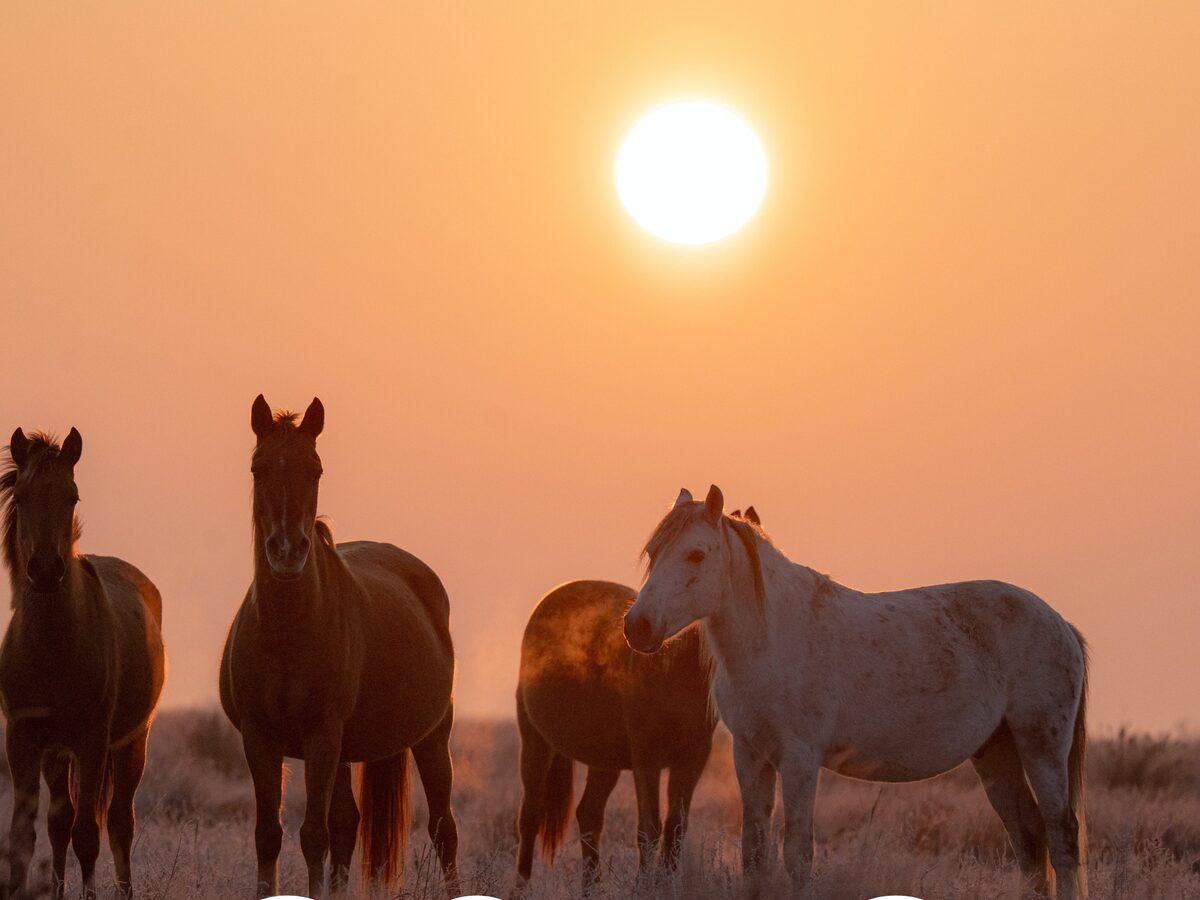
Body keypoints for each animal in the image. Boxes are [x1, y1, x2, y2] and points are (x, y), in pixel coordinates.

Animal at [0, 428, 166, 900]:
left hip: (131, 743)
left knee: (120, 823)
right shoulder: (23, 740)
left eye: (71, 496)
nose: (44, 569)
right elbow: (25, 836)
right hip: (58, 754)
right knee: (60, 823)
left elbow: (88, 834)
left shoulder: (92, 741)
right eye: (21, 496)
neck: (53, 647)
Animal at [219, 396, 458, 899]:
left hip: (432, 734)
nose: (287, 552)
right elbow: (270, 834)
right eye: (257, 467)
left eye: (316, 470)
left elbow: (314, 834)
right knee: (349, 824)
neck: (288, 632)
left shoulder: (322, 736)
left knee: (444, 829)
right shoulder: (258, 737)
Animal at [516, 578, 716, 891]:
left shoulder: (694, 757)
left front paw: (664, 884)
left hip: (603, 760)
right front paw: (644, 887)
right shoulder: (646, 758)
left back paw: (592, 888)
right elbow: (649, 828)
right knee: (530, 817)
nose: (640, 632)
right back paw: (521, 886)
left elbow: (676, 828)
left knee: (588, 814)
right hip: (536, 743)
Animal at [624, 485, 1089, 899]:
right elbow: (754, 855)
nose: (637, 627)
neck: (775, 638)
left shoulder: (799, 759)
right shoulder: (750, 755)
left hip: (1041, 748)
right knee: (1029, 839)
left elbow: (797, 854)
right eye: (653, 552)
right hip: (996, 751)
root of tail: (1061, 623)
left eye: (696, 554)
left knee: (1062, 836)